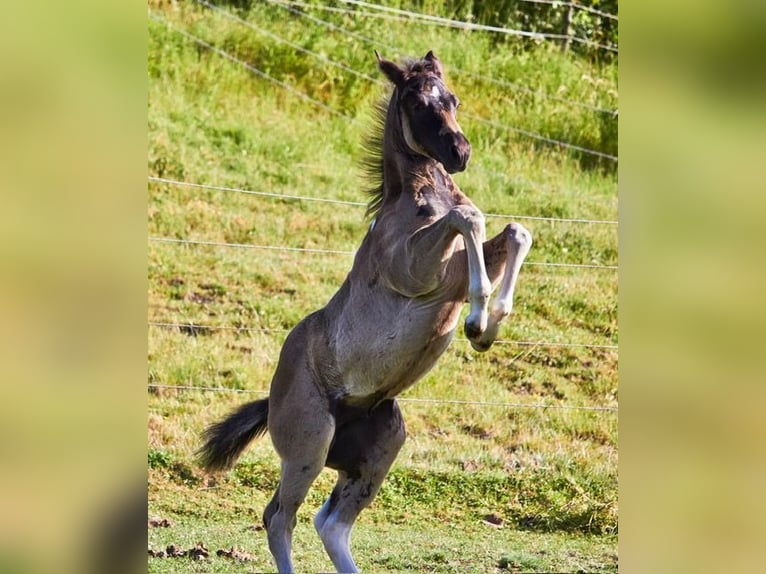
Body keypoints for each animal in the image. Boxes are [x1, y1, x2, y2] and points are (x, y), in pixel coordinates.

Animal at [198, 50, 532, 573]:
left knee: (331, 523)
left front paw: (489, 325)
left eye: (453, 98)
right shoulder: (419, 270)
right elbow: (469, 217)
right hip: (310, 446)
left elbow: (516, 231)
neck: (417, 200)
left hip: (380, 447)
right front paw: (478, 321)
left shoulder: (457, 272)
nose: (459, 153)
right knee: (280, 517)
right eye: (416, 101)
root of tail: (271, 395)